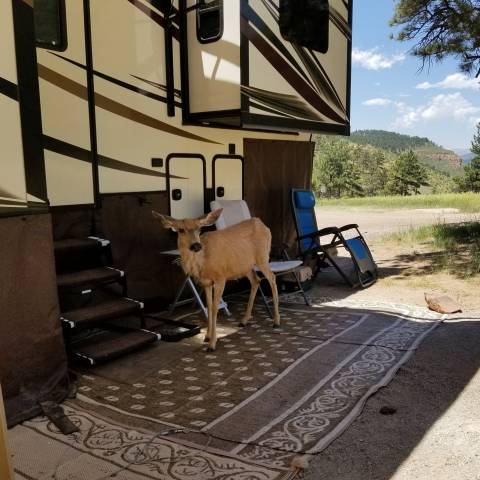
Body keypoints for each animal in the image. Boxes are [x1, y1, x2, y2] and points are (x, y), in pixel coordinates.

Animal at [154, 208, 280, 350]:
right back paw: (244, 320)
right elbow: (208, 306)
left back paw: (276, 321)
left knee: (272, 278)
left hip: (262, 257)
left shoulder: (221, 277)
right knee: (256, 280)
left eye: (199, 229)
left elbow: (215, 308)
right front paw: (207, 336)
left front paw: (212, 343)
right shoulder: (206, 283)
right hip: (245, 266)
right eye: (181, 230)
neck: (203, 262)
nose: (196, 246)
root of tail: (264, 225)